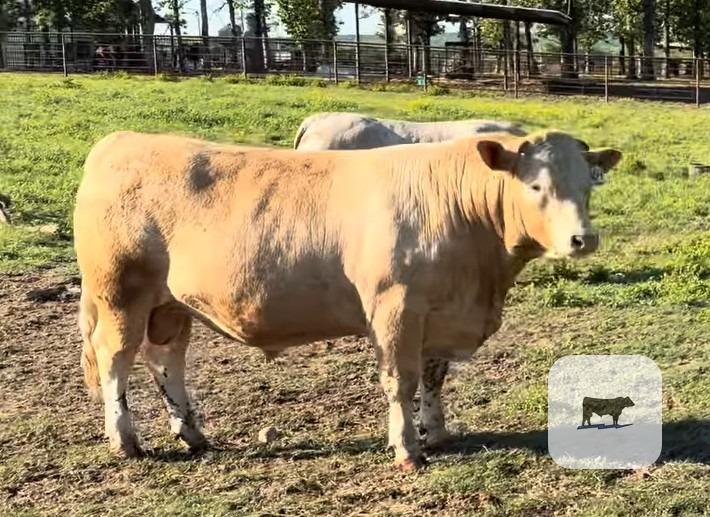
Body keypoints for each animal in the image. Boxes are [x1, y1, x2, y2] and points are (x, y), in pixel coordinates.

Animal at [74, 130, 621, 470]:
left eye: (587, 185)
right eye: (536, 184)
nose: (583, 239)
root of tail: (122, 141)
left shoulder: (440, 313)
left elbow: (433, 378)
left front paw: (438, 433)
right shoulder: (396, 309)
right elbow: (400, 382)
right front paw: (408, 450)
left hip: (169, 304)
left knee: (166, 360)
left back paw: (191, 434)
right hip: (120, 293)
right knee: (115, 361)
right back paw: (125, 441)